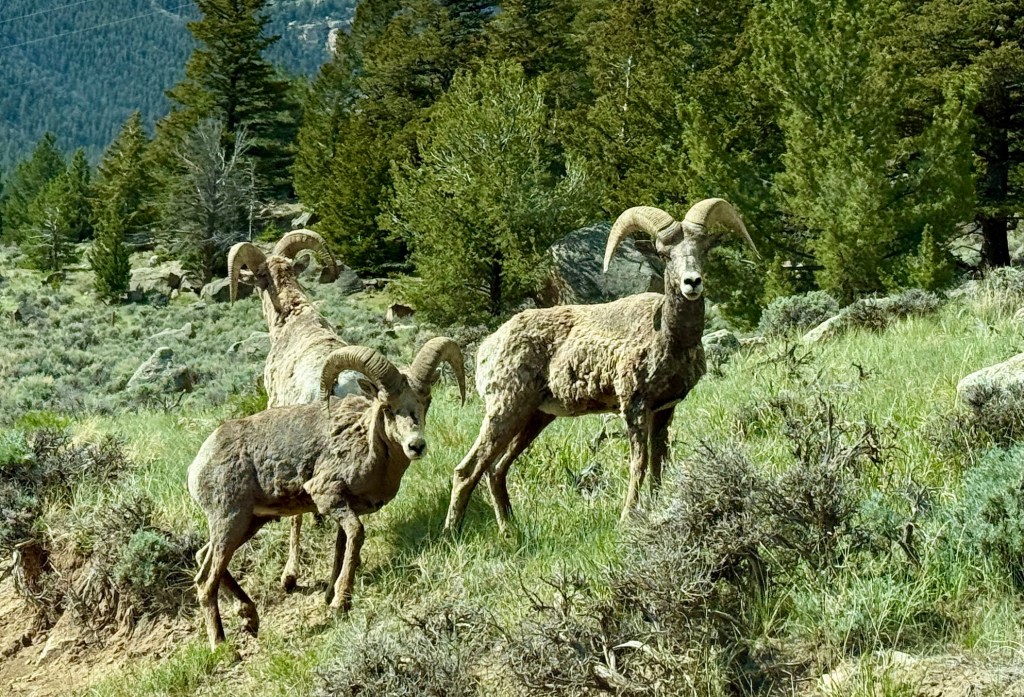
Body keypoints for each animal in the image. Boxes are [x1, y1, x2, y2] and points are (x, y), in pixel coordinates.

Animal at [188, 338, 466, 650]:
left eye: (425, 401)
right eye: (386, 407)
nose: (416, 446)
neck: (368, 446)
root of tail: (197, 466)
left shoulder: (343, 507)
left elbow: (341, 548)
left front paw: (330, 595)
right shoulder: (328, 496)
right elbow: (357, 535)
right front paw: (340, 604)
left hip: (248, 523)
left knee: (202, 557)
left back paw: (250, 618)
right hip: (230, 523)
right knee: (205, 582)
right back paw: (223, 646)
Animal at [443, 198, 757, 533]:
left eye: (703, 249)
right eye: (664, 254)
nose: (692, 283)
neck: (670, 339)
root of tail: (487, 348)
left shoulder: (664, 409)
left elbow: (658, 463)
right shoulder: (634, 406)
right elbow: (639, 463)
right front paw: (626, 518)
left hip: (534, 418)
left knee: (495, 469)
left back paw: (509, 530)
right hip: (505, 410)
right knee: (468, 470)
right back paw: (452, 534)